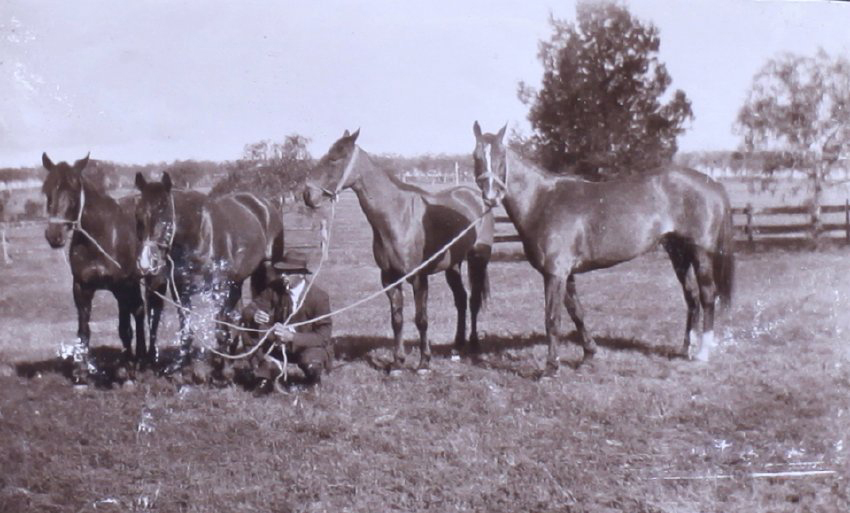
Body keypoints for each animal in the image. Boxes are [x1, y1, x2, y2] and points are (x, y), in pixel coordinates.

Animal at [41, 153, 164, 384]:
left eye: (74, 191)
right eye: (46, 190)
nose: (54, 235)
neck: (102, 235)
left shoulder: (121, 286)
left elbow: (124, 329)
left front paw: (127, 373)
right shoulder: (82, 287)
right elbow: (83, 331)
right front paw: (81, 374)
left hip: (151, 280)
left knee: (151, 312)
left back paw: (146, 360)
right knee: (140, 310)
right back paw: (141, 357)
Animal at [134, 172, 285, 373]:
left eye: (165, 216)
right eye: (138, 216)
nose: (146, 263)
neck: (200, 235)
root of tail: (266, 205)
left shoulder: (218, 288)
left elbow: (220, 327)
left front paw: (224, 370)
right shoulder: (180, 289)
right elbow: (186, 327)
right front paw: (179, 366)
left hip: (267, 269)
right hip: (236, 282)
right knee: (236, 315)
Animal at [303, 129, 494, 374]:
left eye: (335, 159)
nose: (307, 194)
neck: (398, 216)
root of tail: (475, 196)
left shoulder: (418, 278)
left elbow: (421, 319)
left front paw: (424, 363)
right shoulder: (389, 278)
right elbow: (397, 319)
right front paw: (397, 363)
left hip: (478, 259)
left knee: (473, 300)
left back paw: (473, 344)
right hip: (453, 265)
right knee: (460, 299)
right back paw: (457, 344)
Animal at [471, 122, 734, 376]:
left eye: (501, 155)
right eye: (476, 156)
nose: (491, 197)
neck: (543, 200)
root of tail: (713, 184)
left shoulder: (555, 274)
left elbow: (552, 319)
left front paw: (551, 368)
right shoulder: (565, 274)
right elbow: (577, 312)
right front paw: (589, 354)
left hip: (701, 253)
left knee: (707, 295)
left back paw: (702, 353)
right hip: (678, 253)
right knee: (691, 297)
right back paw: (685, 348)